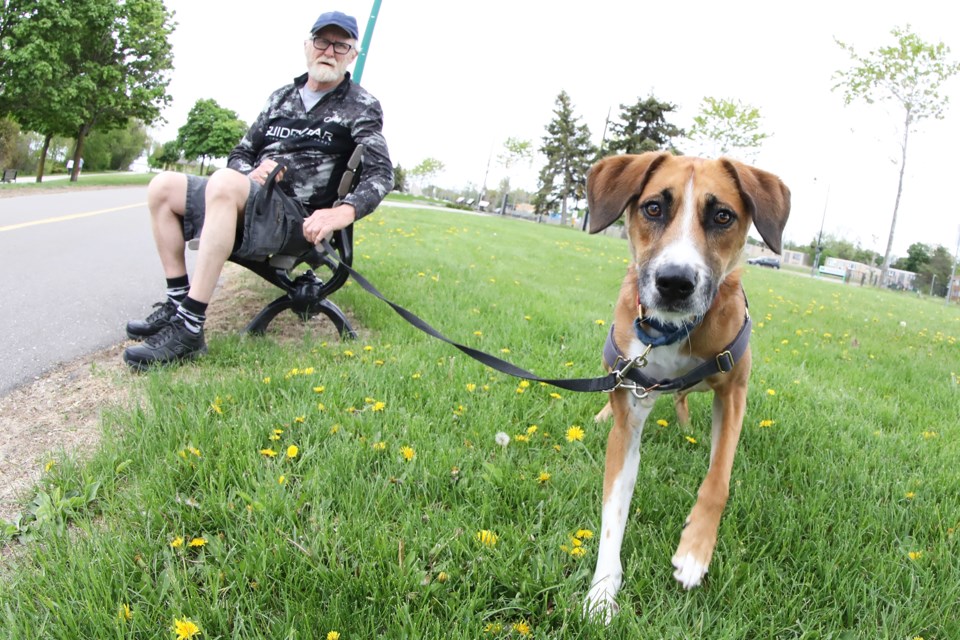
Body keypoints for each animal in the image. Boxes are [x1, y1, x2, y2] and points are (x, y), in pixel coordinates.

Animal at [580, 152, 792, 624]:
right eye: (654, 208)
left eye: (722, 215)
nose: (674, 282)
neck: (675, 331)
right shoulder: (629, 412)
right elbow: (612, 511)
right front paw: (601, 591)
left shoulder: (733, 391)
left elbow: (718, 480)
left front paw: (695, 553)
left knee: (682, 397)